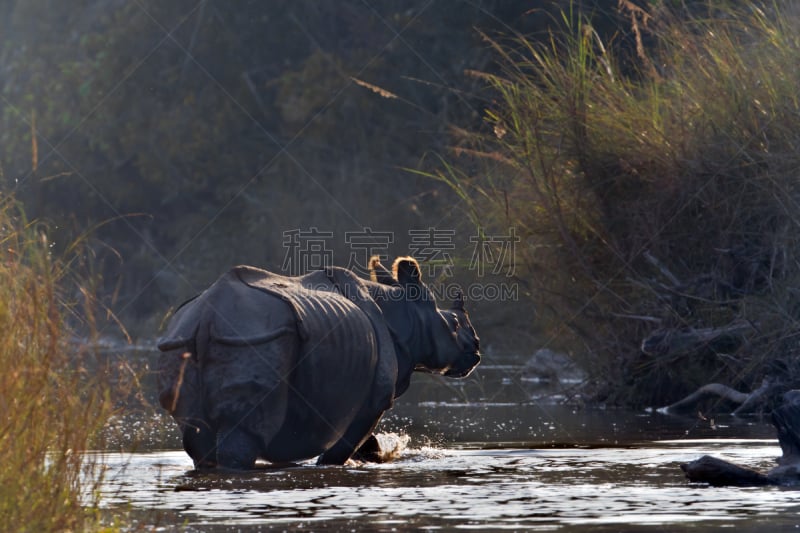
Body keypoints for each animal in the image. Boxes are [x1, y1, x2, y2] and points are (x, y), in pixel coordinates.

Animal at [157, 256, 482, 468]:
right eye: (454, 325)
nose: (476, 350)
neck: (401, 311)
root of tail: (205, 319)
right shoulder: (375, 399)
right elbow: (342, 449)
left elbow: (364, 441)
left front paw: (375, 455)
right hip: (254, 336)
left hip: (181, 341)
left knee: (196, 437)